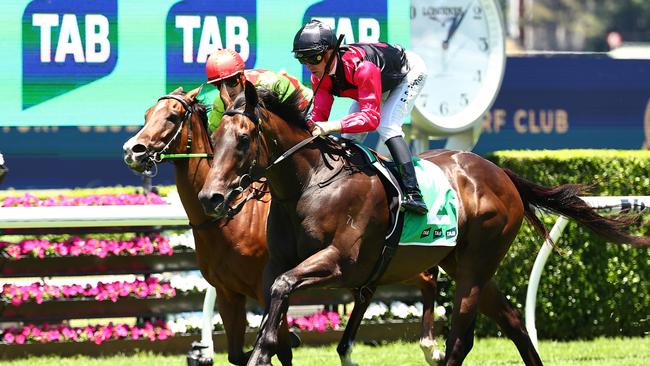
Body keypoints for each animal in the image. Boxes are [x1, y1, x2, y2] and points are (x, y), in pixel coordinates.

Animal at [121, 87, 442, 364]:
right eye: (147, 114)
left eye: (172, 116)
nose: (132, 150)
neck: (229, 219)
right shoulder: (228, 292)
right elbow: (238, 353)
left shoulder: (269, 284)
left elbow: (281, 345)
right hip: (382, 263)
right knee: (378, 289)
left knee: (426, 278)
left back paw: (430, 346)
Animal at [197, 81, 648, 366]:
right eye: (213, 138)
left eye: (243, 139)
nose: (211, 198)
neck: (308, 185)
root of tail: (501, 173)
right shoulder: (275, 263)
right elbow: (275, 298)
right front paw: (271, 344)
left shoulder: (342, 262)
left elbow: (283, 289)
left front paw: (263, 351)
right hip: (465, 265)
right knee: (514, 322)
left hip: (477, 263)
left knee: (461, 340)